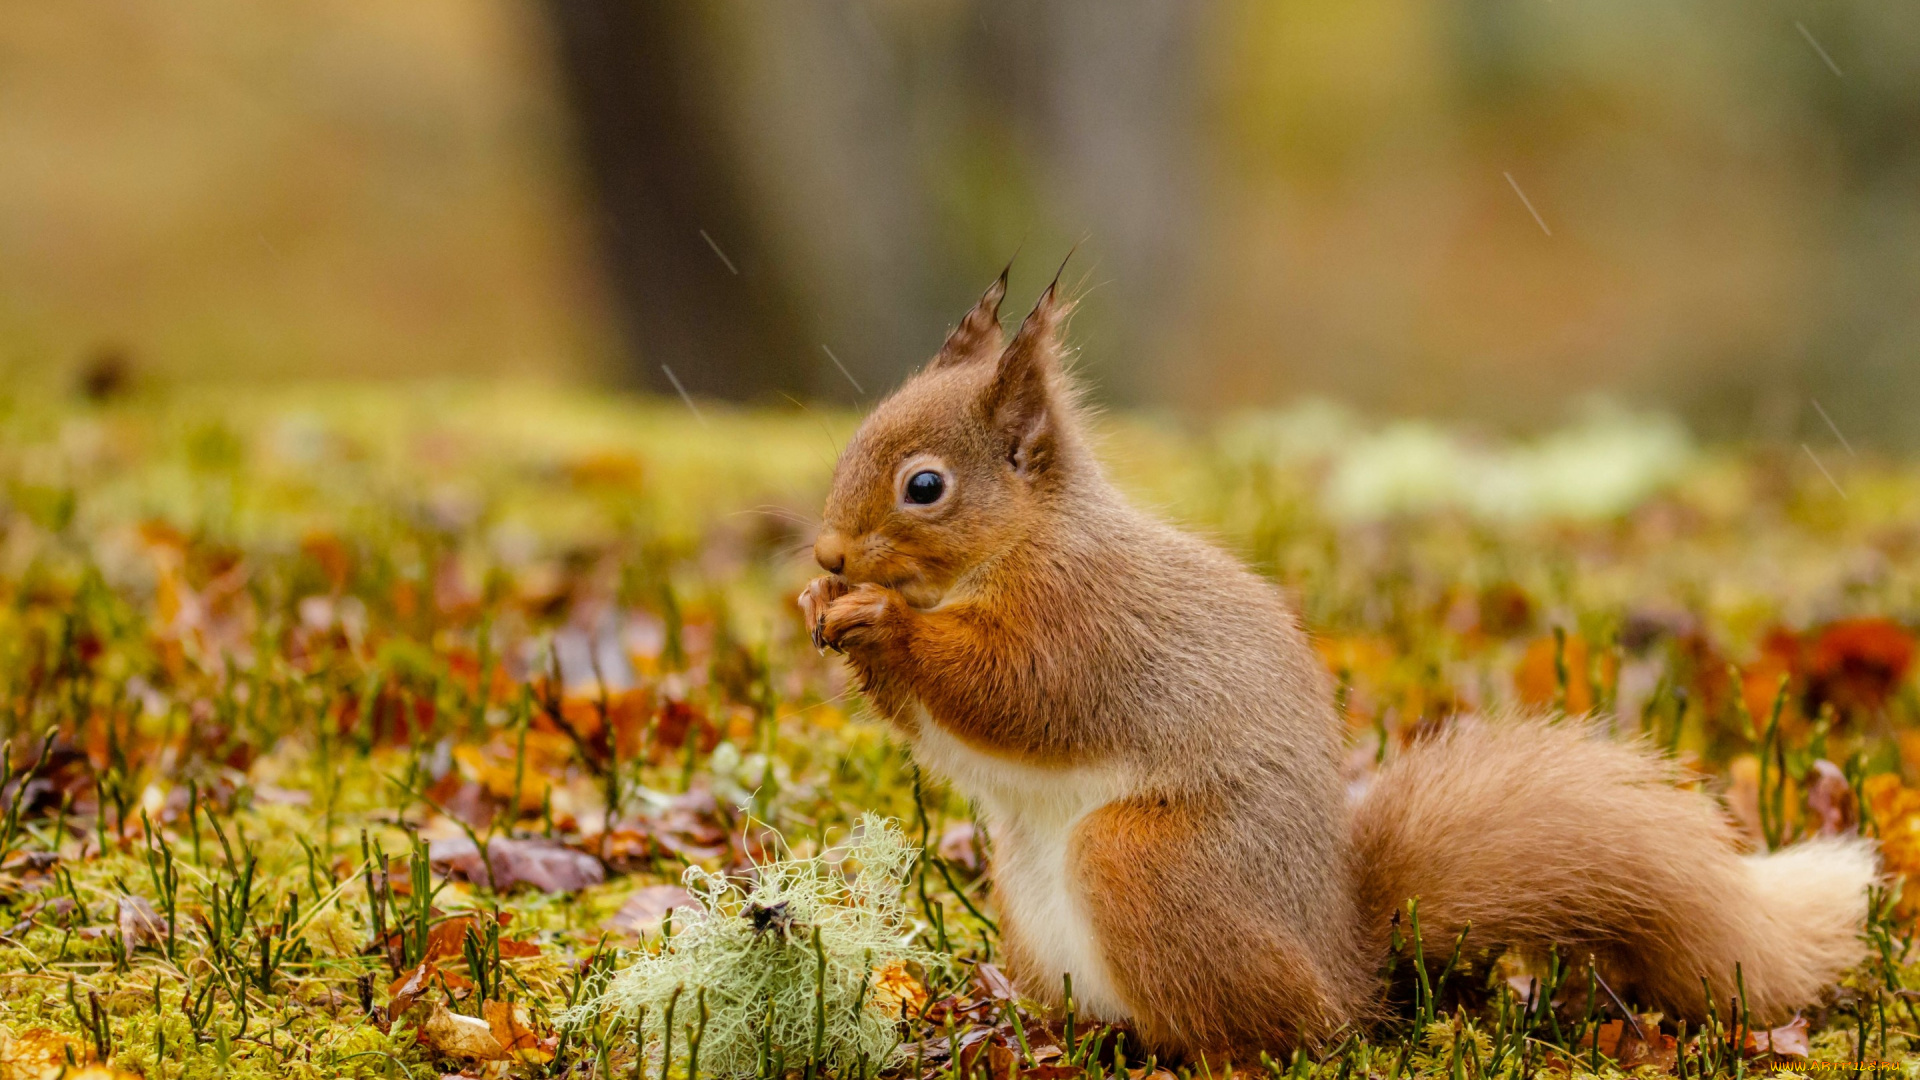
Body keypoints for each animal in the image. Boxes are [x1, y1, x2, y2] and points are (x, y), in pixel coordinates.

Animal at [794, 270, 1873, 1060]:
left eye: (924, 487)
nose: (828, 553)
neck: (1023, 543)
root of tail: (1344, 966)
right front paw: (818, 607)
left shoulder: (1083, 624)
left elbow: (1013, 691)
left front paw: (881, 621)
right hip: (1027, 890)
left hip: (1148, 866)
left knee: (1275, 1034)